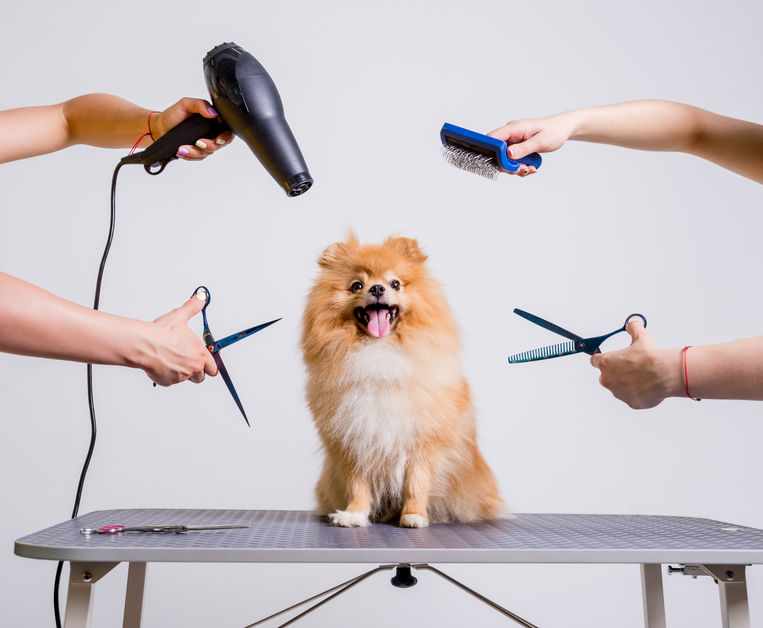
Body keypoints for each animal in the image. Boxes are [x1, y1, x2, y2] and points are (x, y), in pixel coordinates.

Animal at [300, 233, 508, 528]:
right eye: (356, 285)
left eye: (395, 283)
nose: (377, 288)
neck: (378, 350)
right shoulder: (354, 440)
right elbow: (357, 484)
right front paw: (354, 514)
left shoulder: (422, 441)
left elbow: (416, 483)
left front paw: (414, 515)